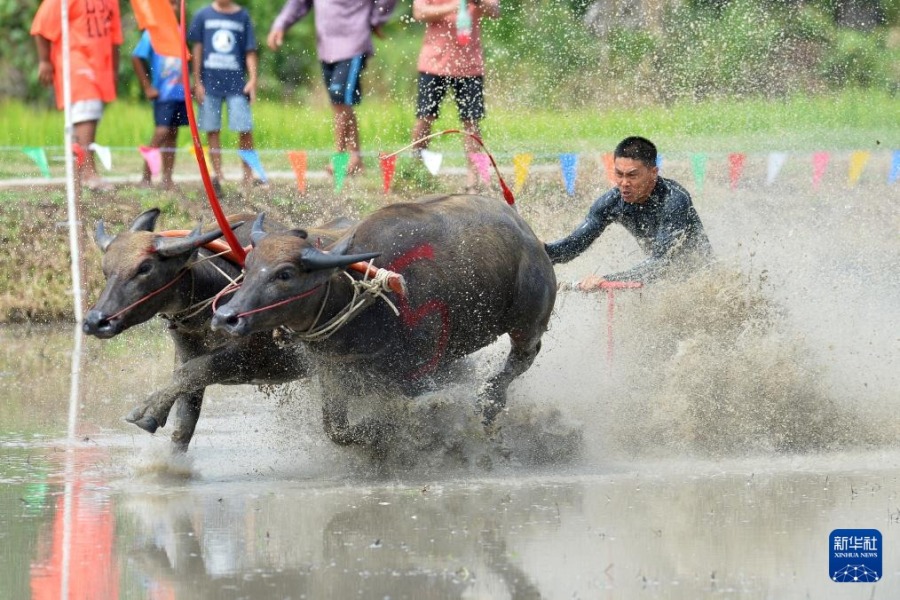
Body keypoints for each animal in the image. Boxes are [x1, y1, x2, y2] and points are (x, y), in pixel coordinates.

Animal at [84, 209, 350, 448]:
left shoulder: (245, 359)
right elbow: (184, 422)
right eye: (106, 268)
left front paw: (147, 410)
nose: (95, 321)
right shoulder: (185, 354)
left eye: (145, 267)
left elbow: (191, 372)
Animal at [213, 195, 556, 448]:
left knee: (522, 357)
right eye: (248, 264)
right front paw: (372, 434)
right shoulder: (333, 372)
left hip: (527, 323)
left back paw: (490, 401)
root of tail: (534, 241)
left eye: (285, 274)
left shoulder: (418, 372)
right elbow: (337, 430)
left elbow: (407, 410)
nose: (225, 317)